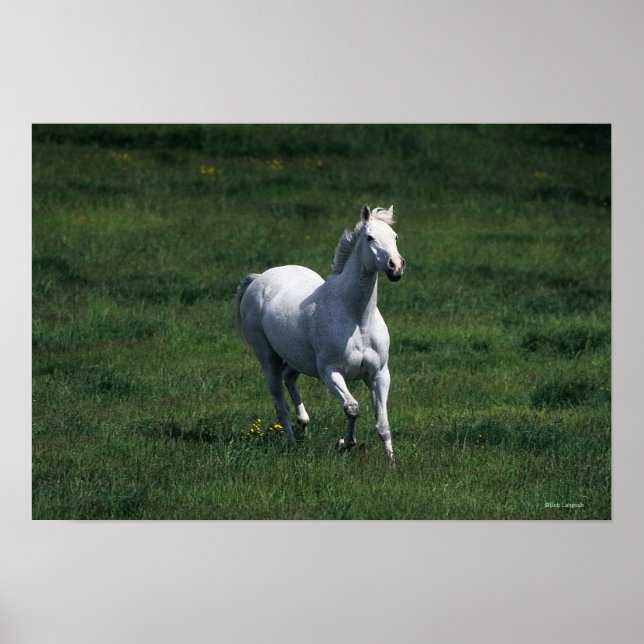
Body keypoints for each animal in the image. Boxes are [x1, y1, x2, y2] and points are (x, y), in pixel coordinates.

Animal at [234, 204, 405, 463]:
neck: (357, 319)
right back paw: (292, 443)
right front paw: (345, 443)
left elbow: (383, 425)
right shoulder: (330, 372)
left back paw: (303, 426)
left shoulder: (379, 375)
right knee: (280, 404)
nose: (396, 266)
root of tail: (258, 279)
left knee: (289, 378)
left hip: (298, 359)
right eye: (370, 237)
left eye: (395, 237)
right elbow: (352, 408)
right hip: (268, 359)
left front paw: (391, 463)